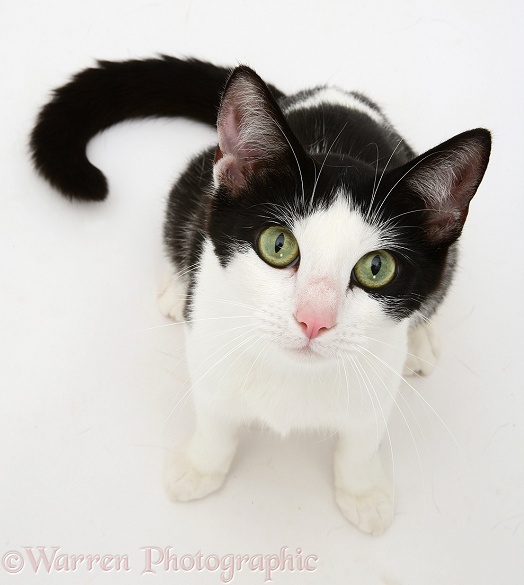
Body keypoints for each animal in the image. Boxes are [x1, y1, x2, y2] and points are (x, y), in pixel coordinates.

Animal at [29, 56, 492, 532]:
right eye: (278, 244)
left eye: (376, 268)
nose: (314, 319)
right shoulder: (208, 346)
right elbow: (214, 416)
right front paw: (200, 467)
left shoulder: (378, 375)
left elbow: (362, 438)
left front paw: (364, 494)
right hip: (193, 185)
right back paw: (177, 288)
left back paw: (420, 339)